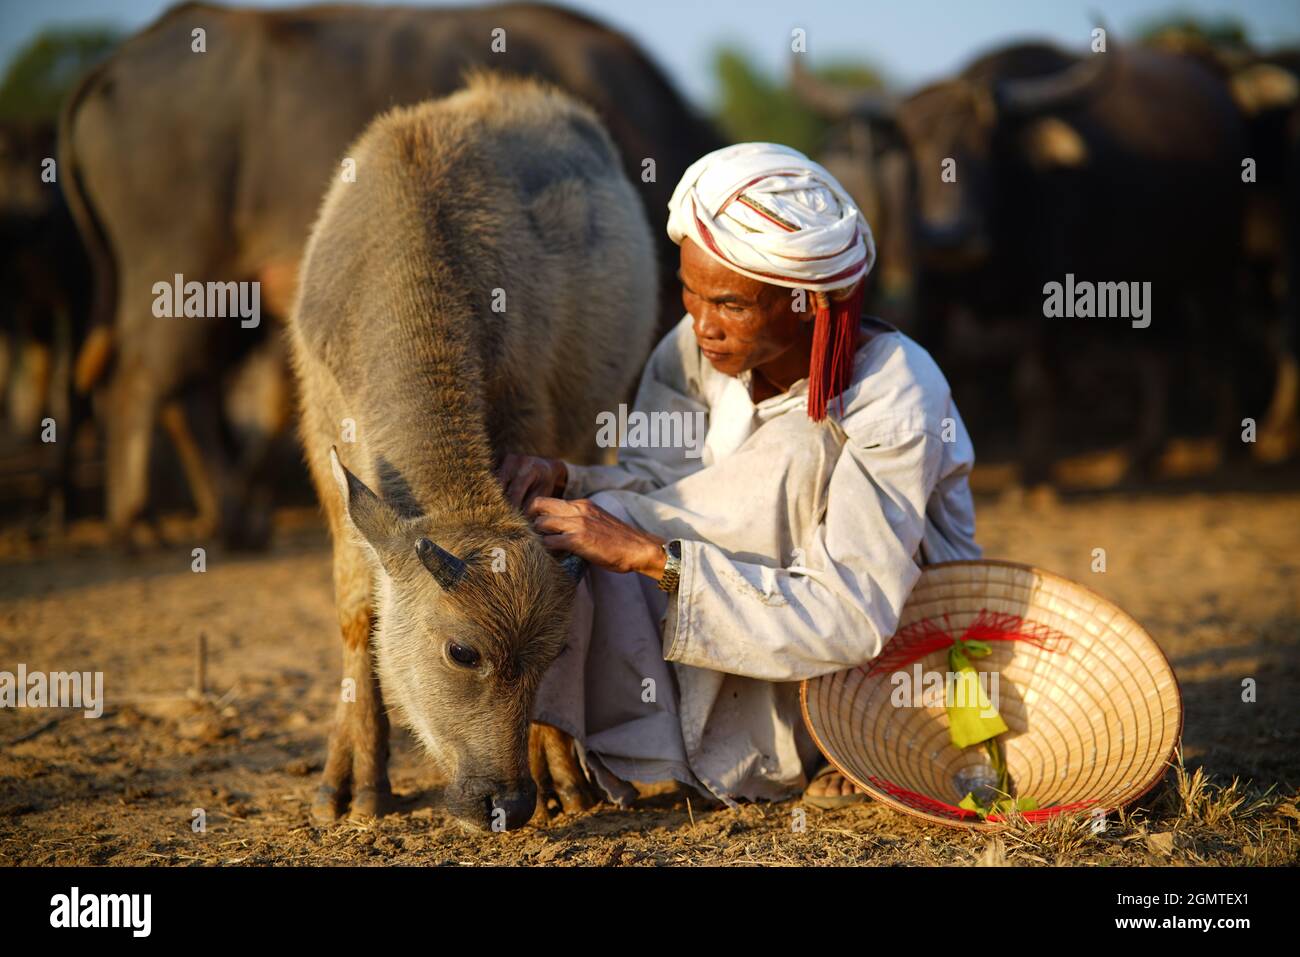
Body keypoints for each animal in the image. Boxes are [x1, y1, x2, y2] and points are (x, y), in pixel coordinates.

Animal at [61, 0, 722, 548]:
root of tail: (115, 63)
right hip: (181, 285)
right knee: (144, 383)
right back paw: (147, 521)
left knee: (177, 391)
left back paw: (222, 519)